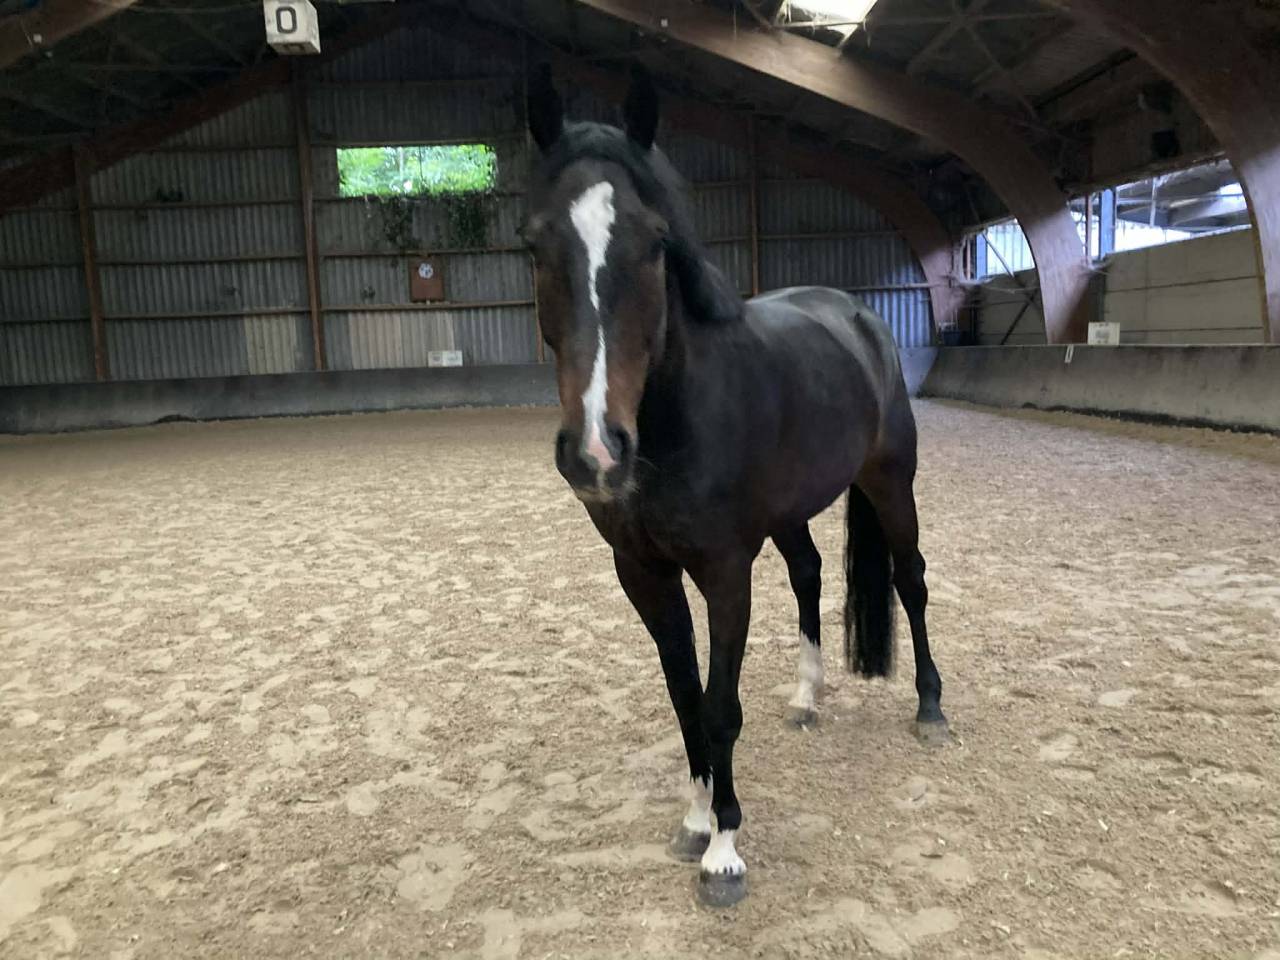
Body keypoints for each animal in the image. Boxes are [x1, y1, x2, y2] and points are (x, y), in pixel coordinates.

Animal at [523, 64, 950, 908]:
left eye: (656, 241)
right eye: (536, 240)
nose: (596, 451)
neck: (679, 417)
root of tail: (858, 315)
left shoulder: (724, 571)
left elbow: (720, 706)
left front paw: (725, 848)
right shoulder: (643, 573)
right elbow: (684, 695)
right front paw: (695, 818)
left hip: (892, 481)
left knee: (912, 580)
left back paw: (929, 706)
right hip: (790, 513)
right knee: (811, 574)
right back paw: (808, 698)